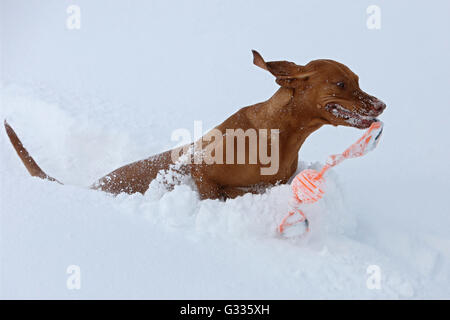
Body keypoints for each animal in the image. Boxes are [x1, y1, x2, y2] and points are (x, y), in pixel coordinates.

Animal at [3, 50, 384, 199]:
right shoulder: (203, 172)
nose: (382, 104)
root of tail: (89, 188)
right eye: (340, 84)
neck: (278, 134)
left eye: (358, 80)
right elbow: (217, 192)